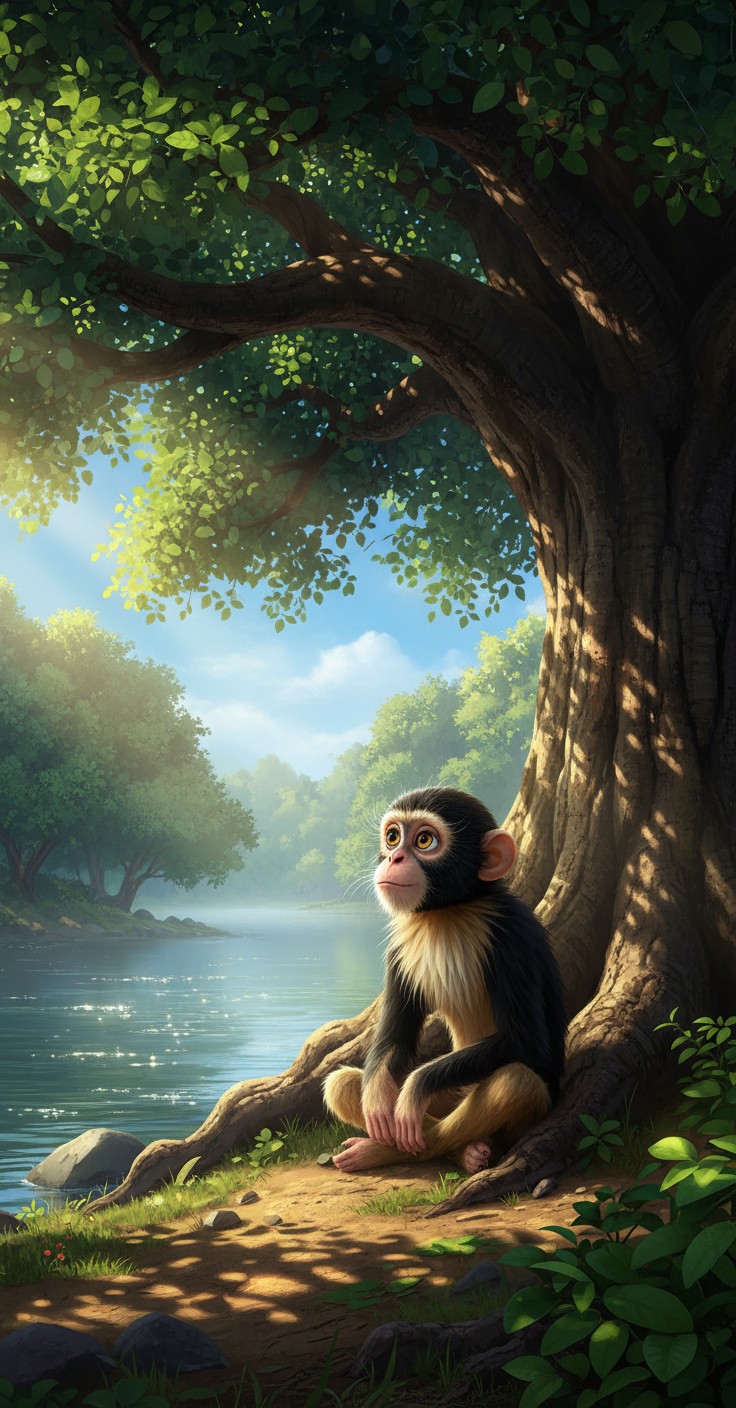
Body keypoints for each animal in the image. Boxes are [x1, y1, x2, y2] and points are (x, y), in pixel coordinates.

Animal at [323, 786, 566, 1175]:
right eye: (393, 837)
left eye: (424, 840)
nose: (395, 858)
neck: (448, 911)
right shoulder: (398, 949)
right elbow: (395, 1038)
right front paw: (376, 1098)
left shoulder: (512, 938)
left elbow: (526, 1042)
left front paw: (415, 1088)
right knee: (342, 1083)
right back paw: (462, 1152)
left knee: (516, 1083)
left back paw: (384, 1151)